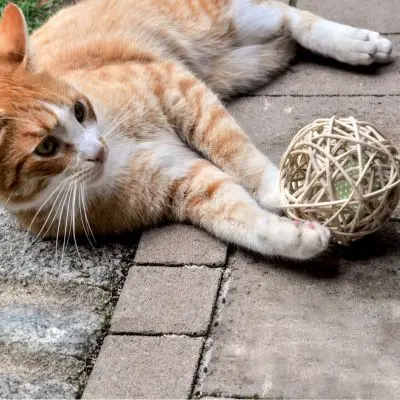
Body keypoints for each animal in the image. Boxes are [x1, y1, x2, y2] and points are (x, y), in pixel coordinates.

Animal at [0, 0, 392, 260]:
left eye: (79, 110)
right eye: (46, 148)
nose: (98, 150)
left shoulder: (175, 86)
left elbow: (233, 147)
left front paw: (282, 189)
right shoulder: (184, 181)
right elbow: (239, 218)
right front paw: (297, 237)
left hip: (220, 19)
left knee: (291, 16)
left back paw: (358, 44)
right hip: (242, 65)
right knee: (287, 35)